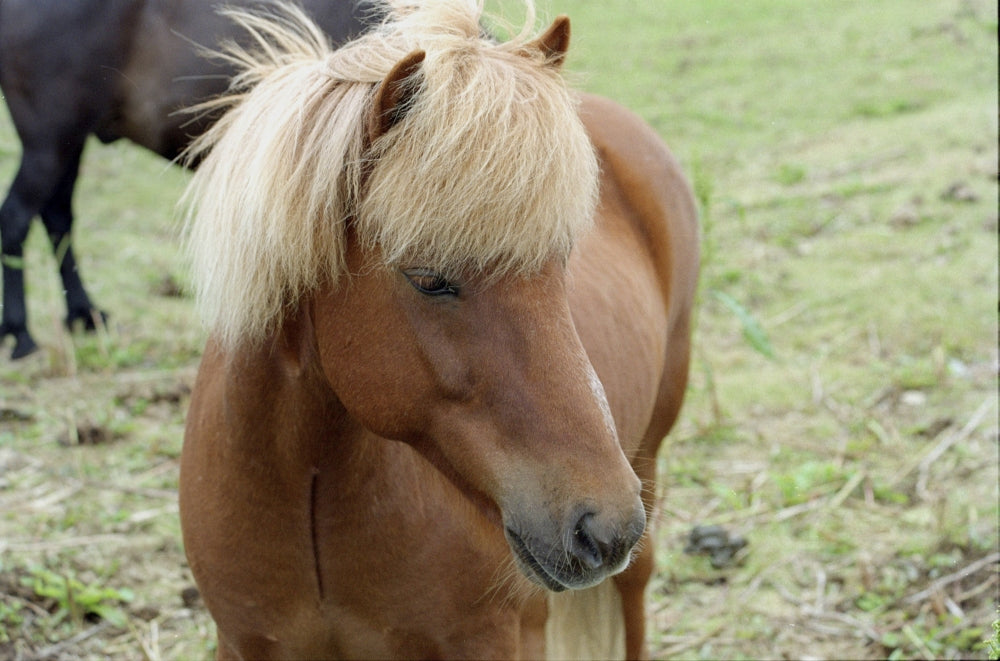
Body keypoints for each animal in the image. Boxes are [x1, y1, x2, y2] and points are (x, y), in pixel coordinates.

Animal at [0, 0, 372, 359]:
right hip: (49, 143)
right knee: (16, 220)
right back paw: (21, 334)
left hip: (69, 143)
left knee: (57, 217)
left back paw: (84, 314)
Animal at [178, 2, 699, 659]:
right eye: (429, 279)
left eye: (562, 261)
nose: (604, 528)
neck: (310, 490)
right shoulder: (244, 641)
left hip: (647, 460)